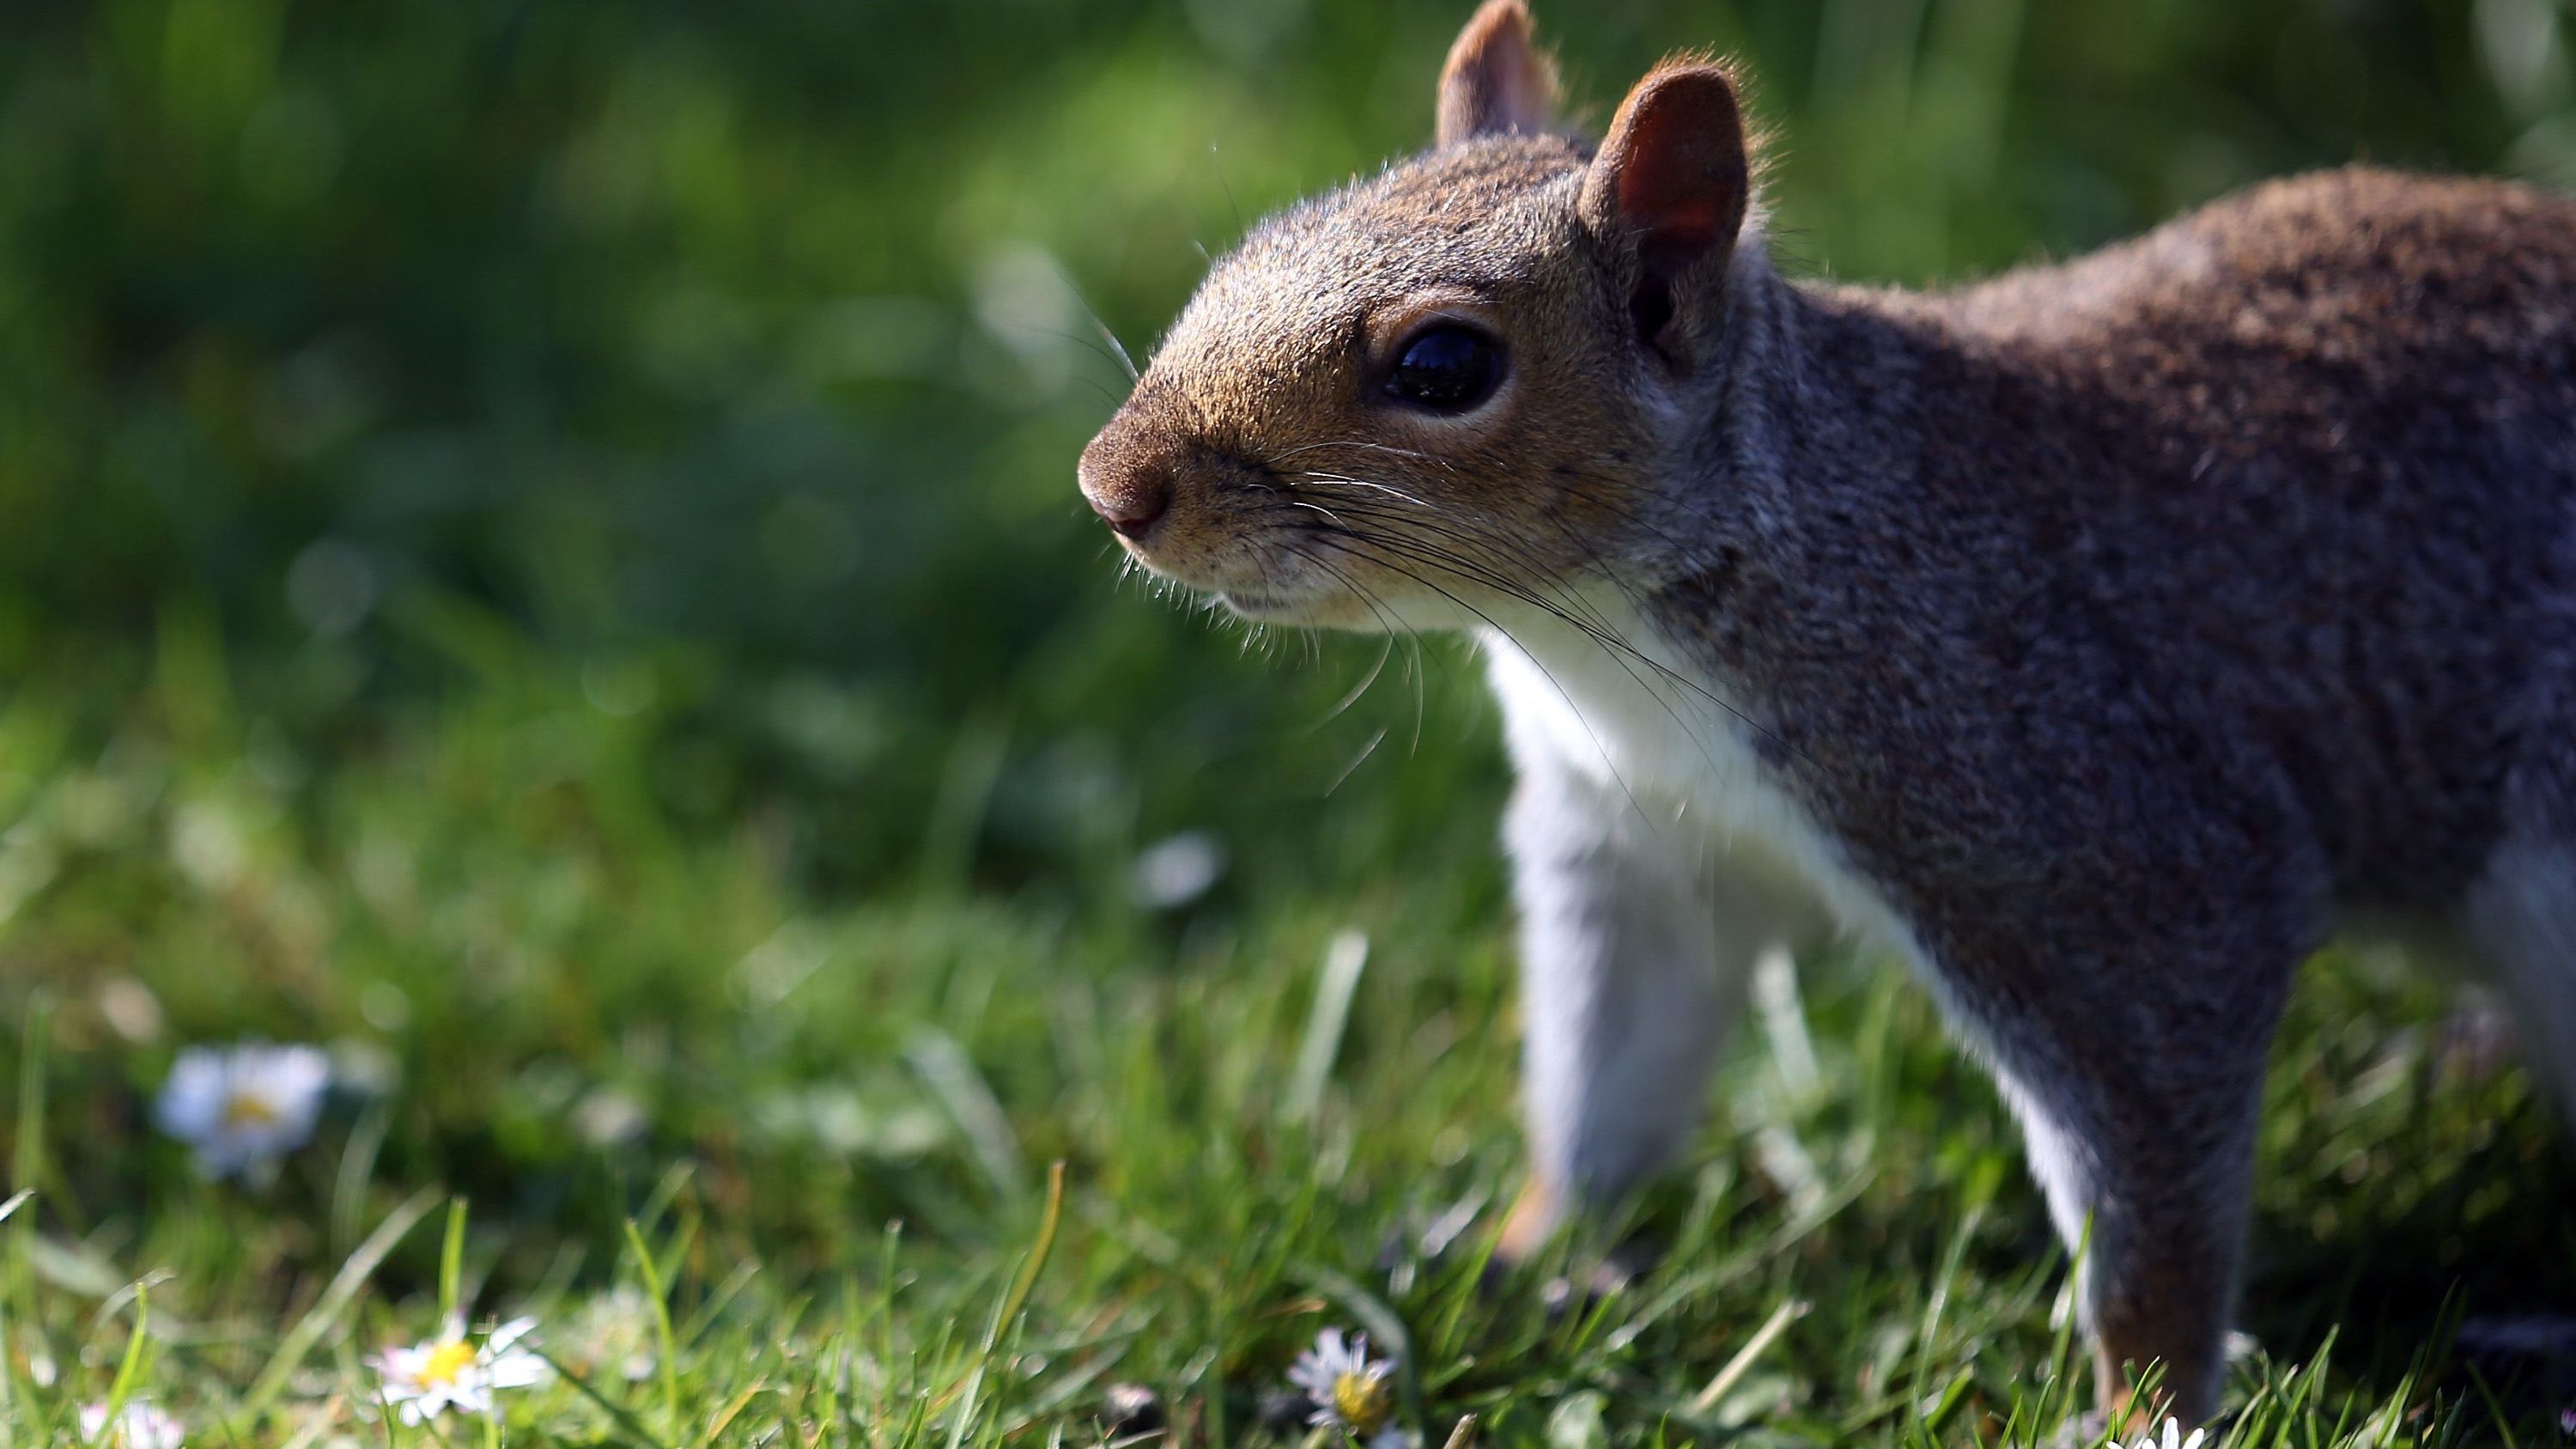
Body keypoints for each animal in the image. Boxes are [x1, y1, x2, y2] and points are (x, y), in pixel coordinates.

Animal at [1072, 0, 2576, 1422]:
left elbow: (2152, 1156)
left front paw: (2140, 1405)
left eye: (1443, 366)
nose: (1112, 484)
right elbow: (1612, 1074)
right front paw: (1521, 1255)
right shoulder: (1649, 847)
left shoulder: (2103, 836)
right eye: (1251, 247)